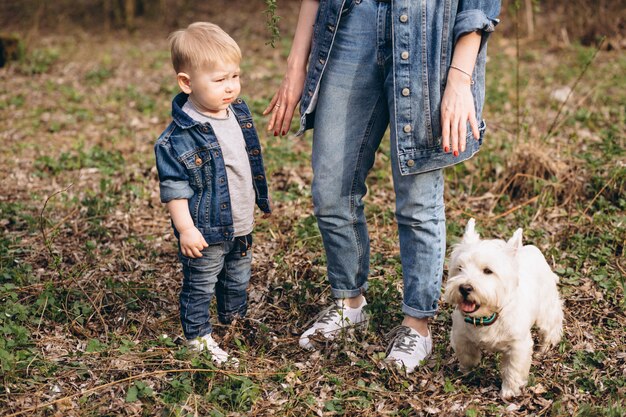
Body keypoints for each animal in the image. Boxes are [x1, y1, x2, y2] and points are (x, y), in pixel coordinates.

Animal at [442, 218, 564, 396]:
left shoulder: (518, 346)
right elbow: (467, 356)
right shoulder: (461, 336)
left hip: (546, 309)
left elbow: (513, 369)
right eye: (459, 268)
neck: (487, 316)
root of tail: (532, 249)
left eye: (488, 271)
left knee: (551, 325)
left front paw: (509, 391)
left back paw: (546, 346)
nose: (464, 288)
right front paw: (467, 372)